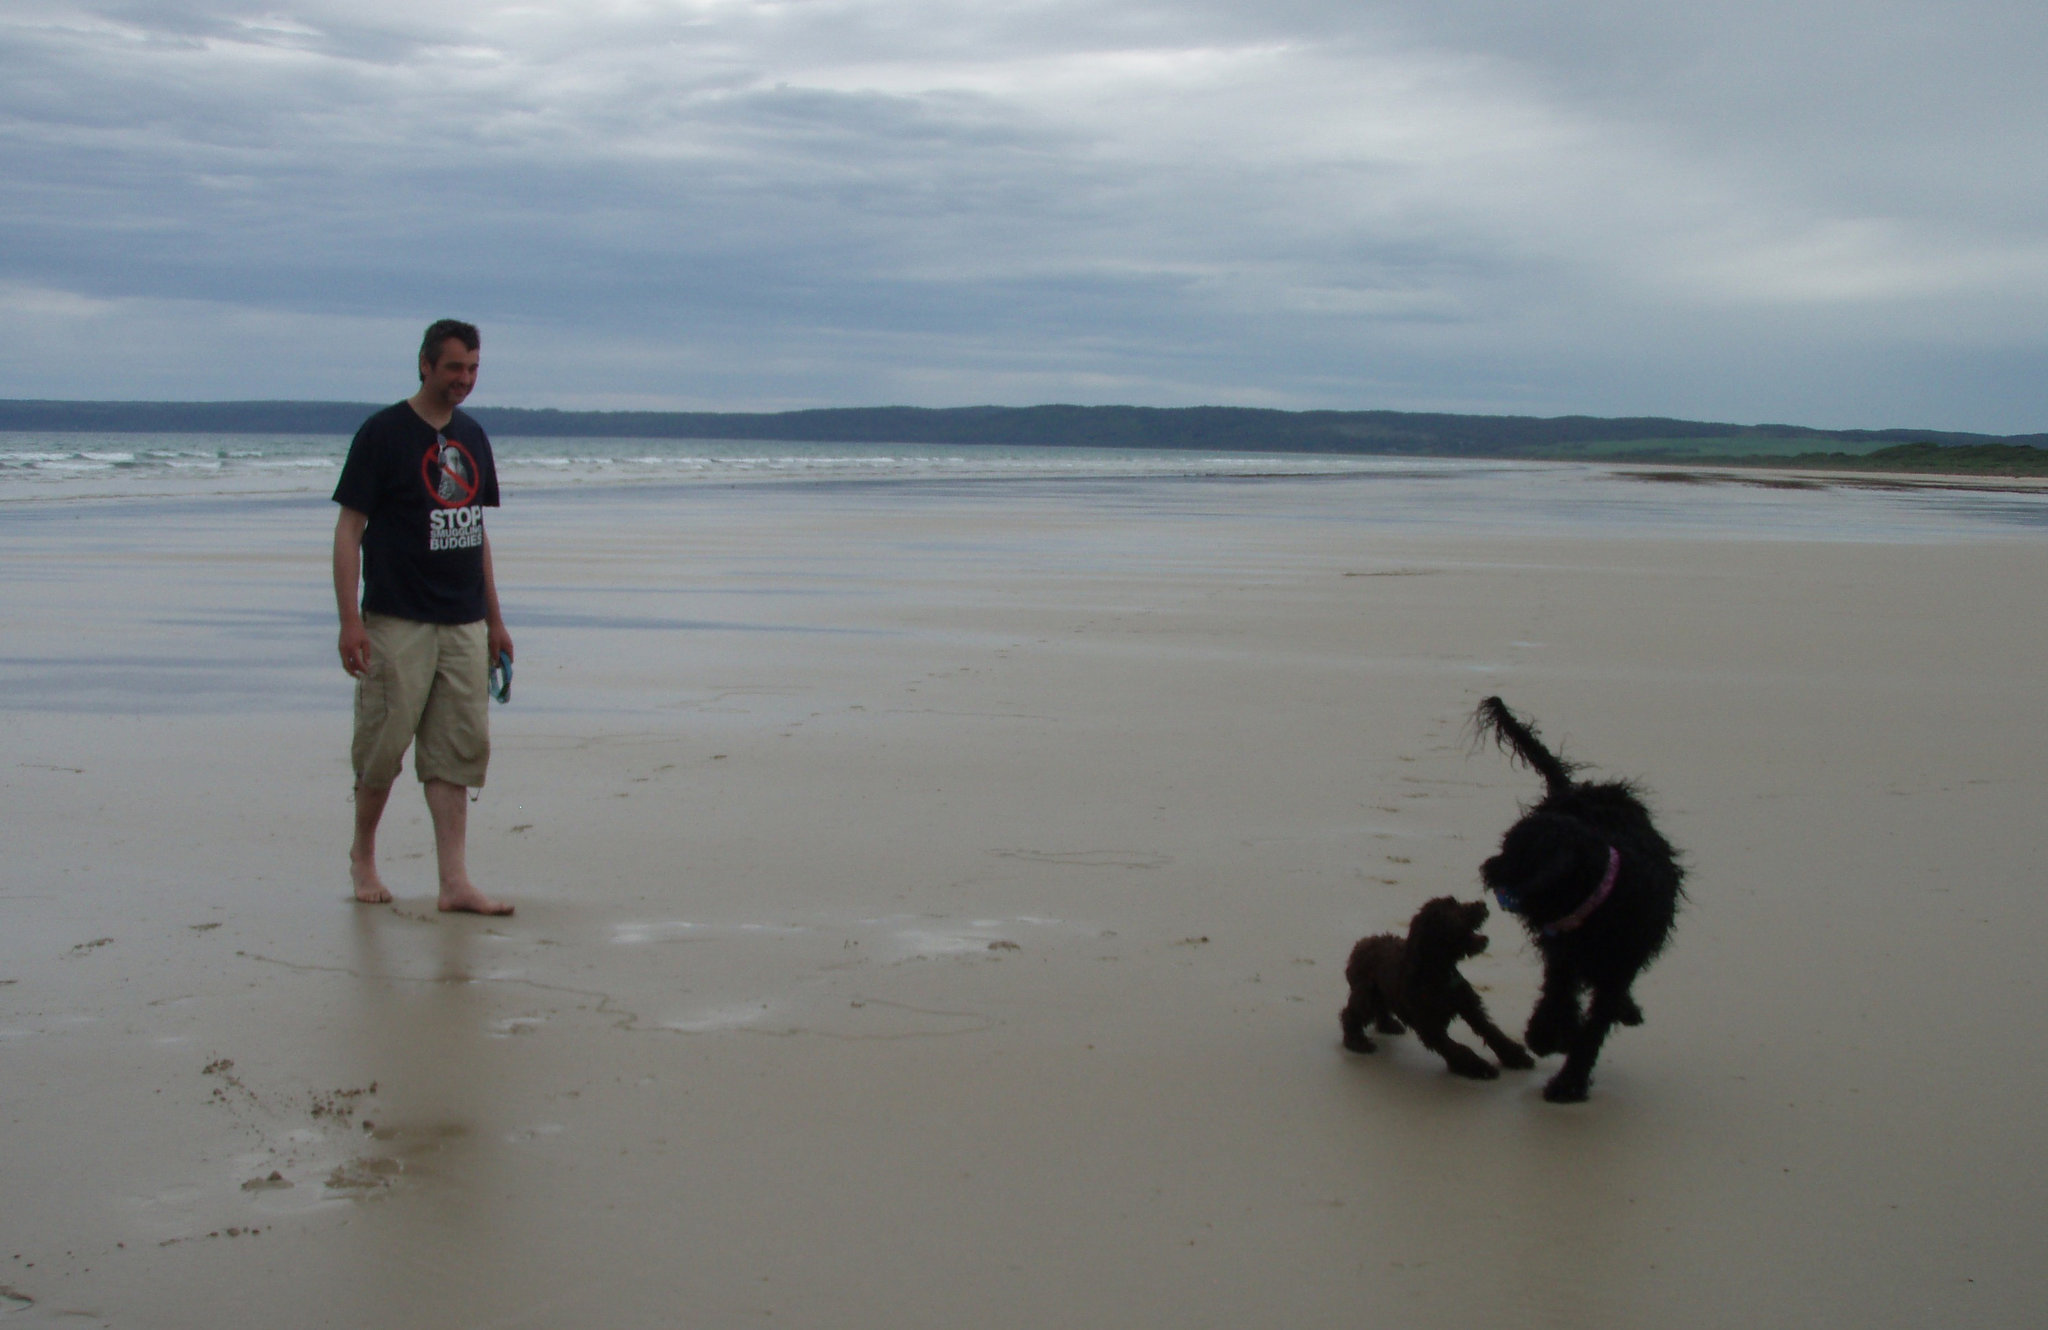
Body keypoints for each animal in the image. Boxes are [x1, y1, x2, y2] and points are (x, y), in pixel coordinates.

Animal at [1343, 893, 1540, 1082]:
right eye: (1453, 908)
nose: (1482, 904)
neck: (1437, 974)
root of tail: (1359, 945)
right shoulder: (1430, 1027)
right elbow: (1456, 1048)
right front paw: (1478, 1068)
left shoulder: (1470, 1007)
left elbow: (1493, 1032)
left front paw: (1515, 1056)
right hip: (1366, 993)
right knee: (1350, 1014)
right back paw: (1356, 1041)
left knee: (1380, 1008)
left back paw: (1388, 1025)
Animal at [1482, 696, 1687, 1098]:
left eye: (1515, 849)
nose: (1487, 866)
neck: (1598, 900)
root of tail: (1574, 792)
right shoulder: (1564, 955)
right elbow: (1558, 997)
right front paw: (1548, 1036)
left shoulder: (1616, 965)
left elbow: (1594, 1025)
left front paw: (1568, 1083)